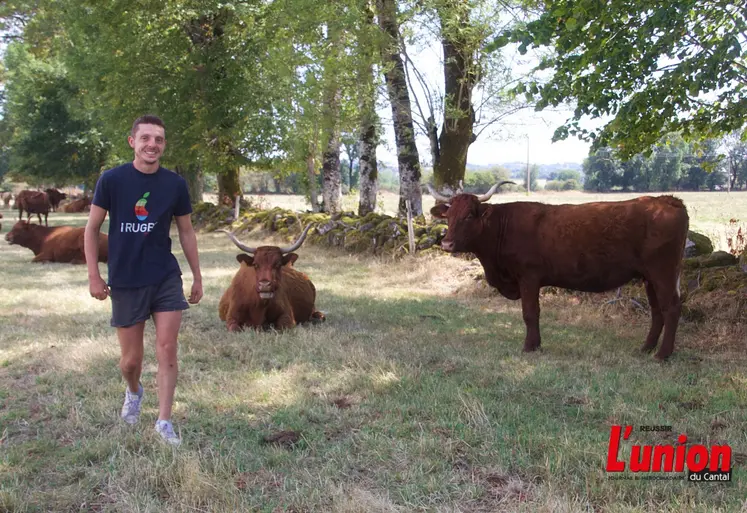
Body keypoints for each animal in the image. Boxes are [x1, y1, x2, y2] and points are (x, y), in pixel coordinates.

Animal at [428, 183, 690, 360]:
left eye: (469, 215)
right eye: (448, 216)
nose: (447, 244)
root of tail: (668, 200)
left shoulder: (529, 277)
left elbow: (530, 313)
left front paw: (530, 346)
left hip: (663, 272)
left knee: (671, 309)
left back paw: (662, 355)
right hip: (650, 277)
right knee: (657, 311)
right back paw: (646, 349)